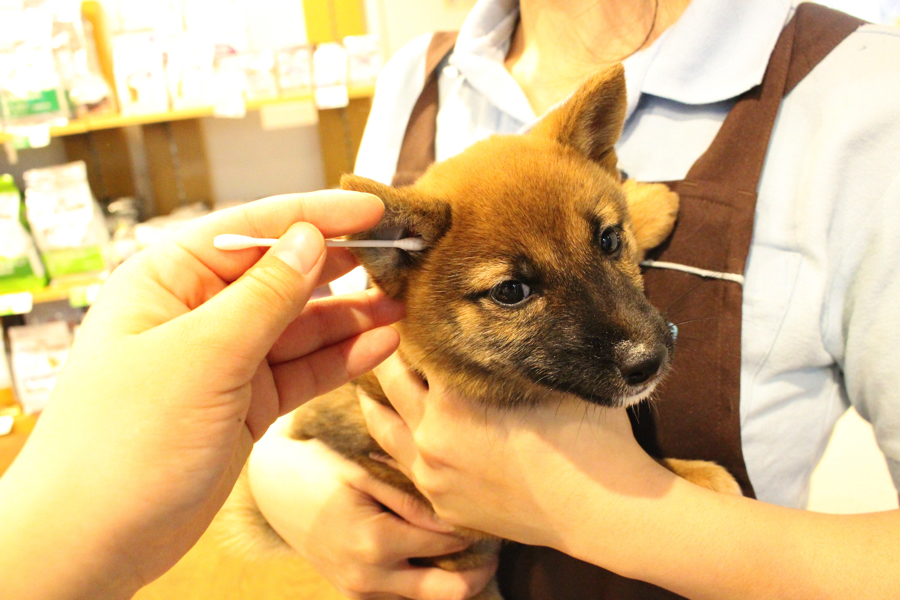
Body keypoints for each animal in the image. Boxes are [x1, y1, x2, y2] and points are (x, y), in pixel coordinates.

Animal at [223, 63, 740, 596]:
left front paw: (648, 203)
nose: (648, 362)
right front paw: (691, 477)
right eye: (511, 291)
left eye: (610, 240)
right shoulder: (456, 519)